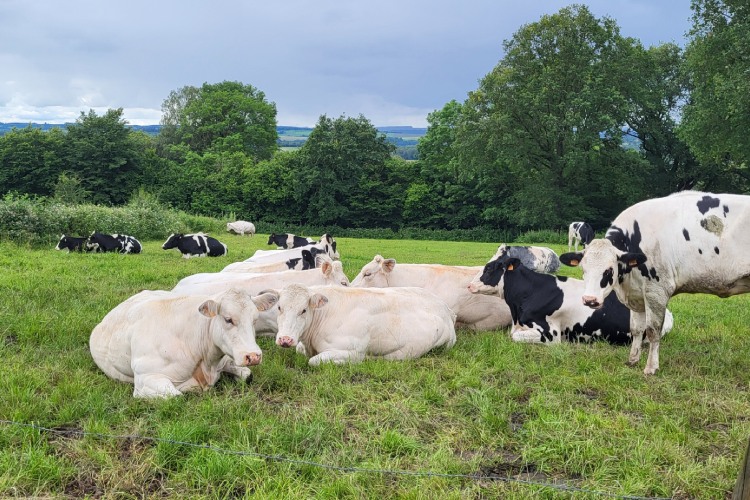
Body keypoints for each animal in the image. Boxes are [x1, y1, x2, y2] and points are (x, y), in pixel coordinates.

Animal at [88, 290, 276, 398]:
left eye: (255, 320)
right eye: (228, 319)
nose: (253, 356)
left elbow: (247, 376)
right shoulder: (145, 379)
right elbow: (176, 396)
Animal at [272, 284, 456, 366]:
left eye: (303, 310)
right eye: (279, 307)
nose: (285, 339)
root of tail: (445, 308)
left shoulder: (351, 351)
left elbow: (314, 361)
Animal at [560, 189, 750, 374]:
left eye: (609, 270)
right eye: (583, 270)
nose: (589, 300)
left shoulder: (656, 290)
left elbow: (652, 331)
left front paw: (651, 367)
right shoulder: (637, 295)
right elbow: (636, 329)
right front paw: (633, 359)